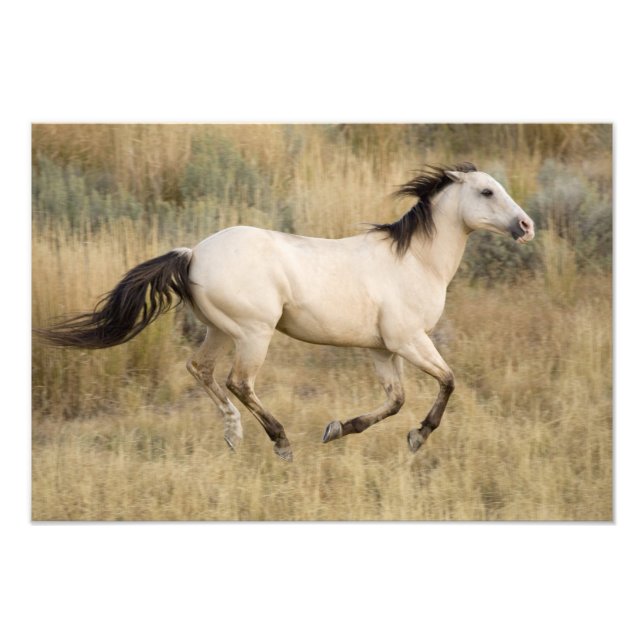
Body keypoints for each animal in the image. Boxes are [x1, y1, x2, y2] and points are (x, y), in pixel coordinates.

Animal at [37, 162, 535, 461]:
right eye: (487, 191)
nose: (526, 226)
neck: (415, 260)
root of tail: (193, 253)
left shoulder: (382, 348)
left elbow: (395, 400)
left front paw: (338, 428)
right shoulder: (409, 340)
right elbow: (448, 381)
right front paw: (418, 437)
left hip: (221, 330)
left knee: (201, 370)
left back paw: (233, 436)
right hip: (254, 333)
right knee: (239, 382)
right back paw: (281, 443)